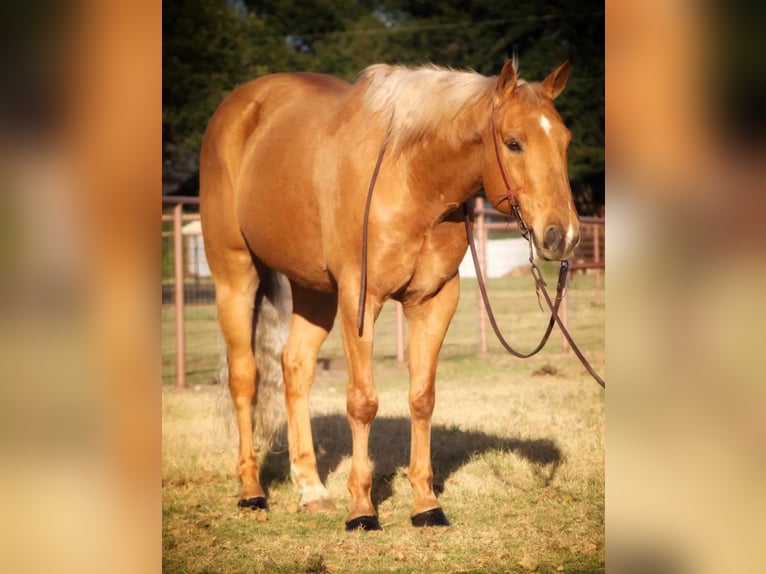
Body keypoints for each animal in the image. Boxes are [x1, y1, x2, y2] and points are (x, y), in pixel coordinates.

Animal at [200, 58, 584, 532]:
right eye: (514, 143)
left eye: (564, 140)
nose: (563, 236)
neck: (411, 178)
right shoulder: (359, 301)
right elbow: (363, 402)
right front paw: (362, 510)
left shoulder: (434, 302)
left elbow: (422, 399)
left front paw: (426, 504)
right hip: (235, 275)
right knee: (245, 377)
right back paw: (252, 491)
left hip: (314, 290)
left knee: (295, 368)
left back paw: (311, 489)